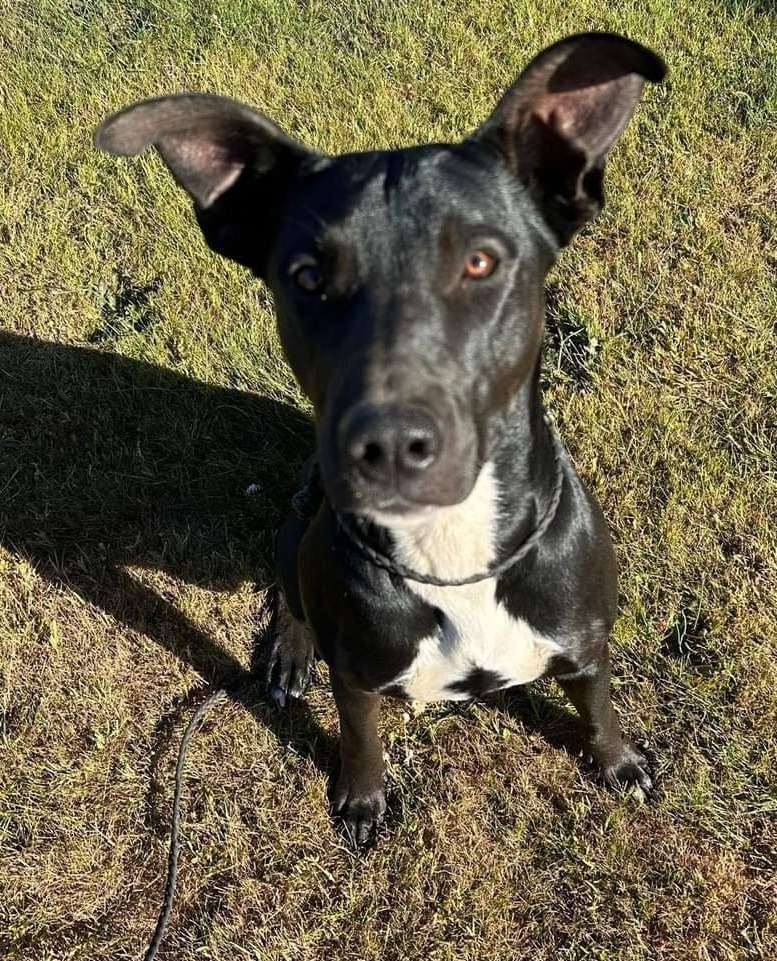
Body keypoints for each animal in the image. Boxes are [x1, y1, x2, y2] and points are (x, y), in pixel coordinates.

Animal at [95, 31, 668, 840]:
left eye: (480, 261)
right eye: (306, 277)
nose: (391, 446)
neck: (454, 554)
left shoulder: (585, 645)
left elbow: (597, 707)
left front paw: (617, 762)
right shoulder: (358, 676)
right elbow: (359, 735)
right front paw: (361, 798)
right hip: (296, 530)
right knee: (290, 591)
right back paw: (290, 653)